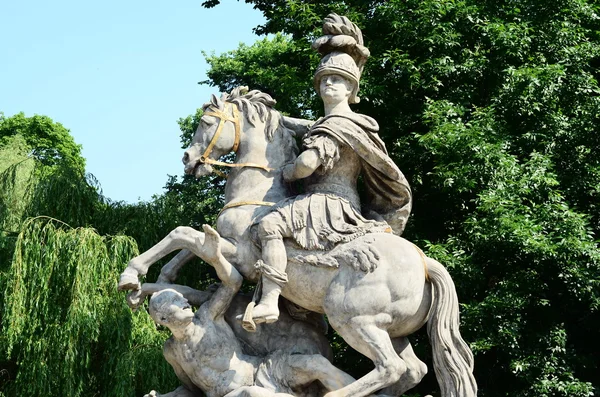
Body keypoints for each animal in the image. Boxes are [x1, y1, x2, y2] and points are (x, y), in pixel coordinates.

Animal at [117, 87, 476, 396]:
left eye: (206, 122)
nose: (188, 159)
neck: (258, 192)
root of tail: (425, 262)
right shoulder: (225, 244)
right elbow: (188, 247)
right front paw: (153, 285)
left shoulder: (241, 254)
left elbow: (182, 235)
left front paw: (131, 275)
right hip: (393, 329)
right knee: (413, 370)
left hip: (352, 319)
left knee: (390, 367)